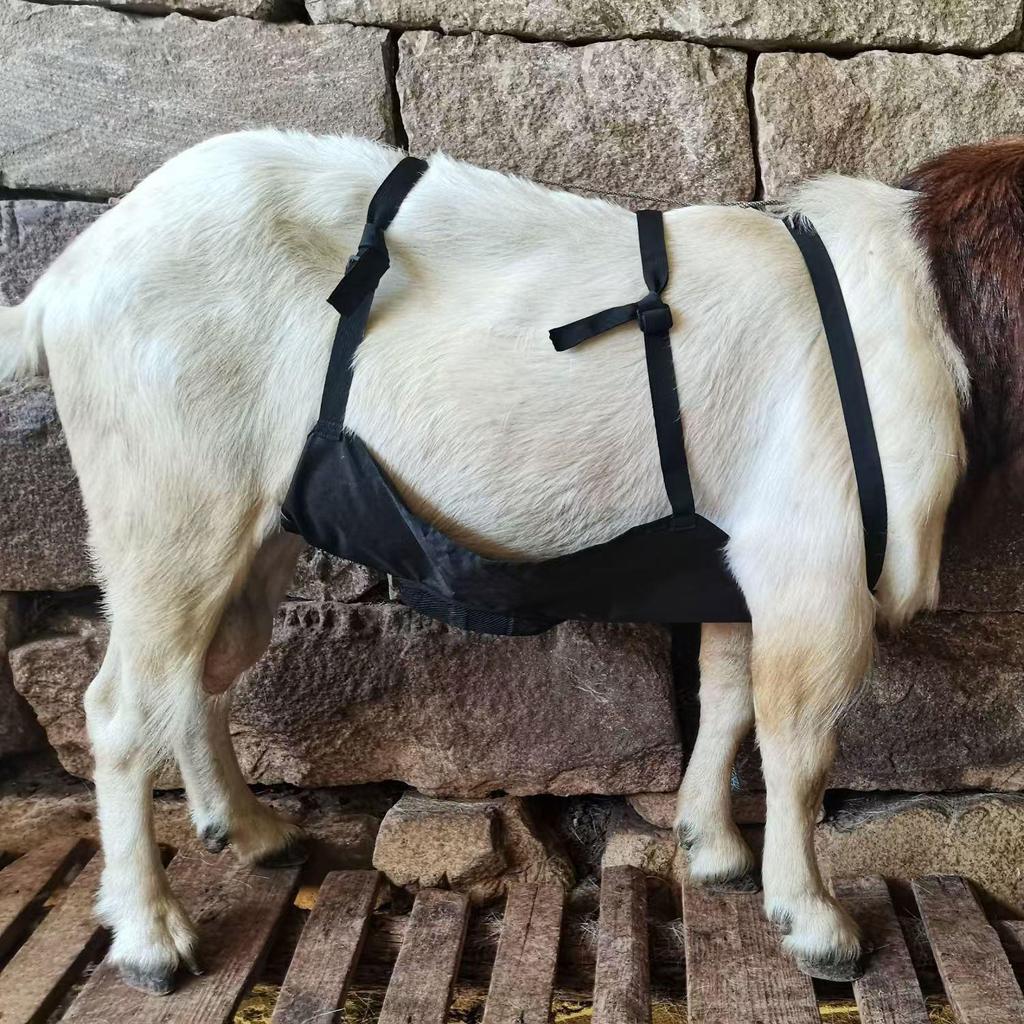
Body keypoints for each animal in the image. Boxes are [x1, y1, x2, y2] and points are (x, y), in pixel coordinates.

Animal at [2, 129, 1014, 994]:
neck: (916, 303)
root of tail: (63, 282)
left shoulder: (741, 563)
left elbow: (726, 699)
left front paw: (711, 847)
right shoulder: (815, 567)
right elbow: (800, 748)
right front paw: (815, 923)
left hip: (252, 528)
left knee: (202, 675)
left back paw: (250, 831)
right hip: (167, 504)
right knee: (120, 708)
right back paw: (150, 938)